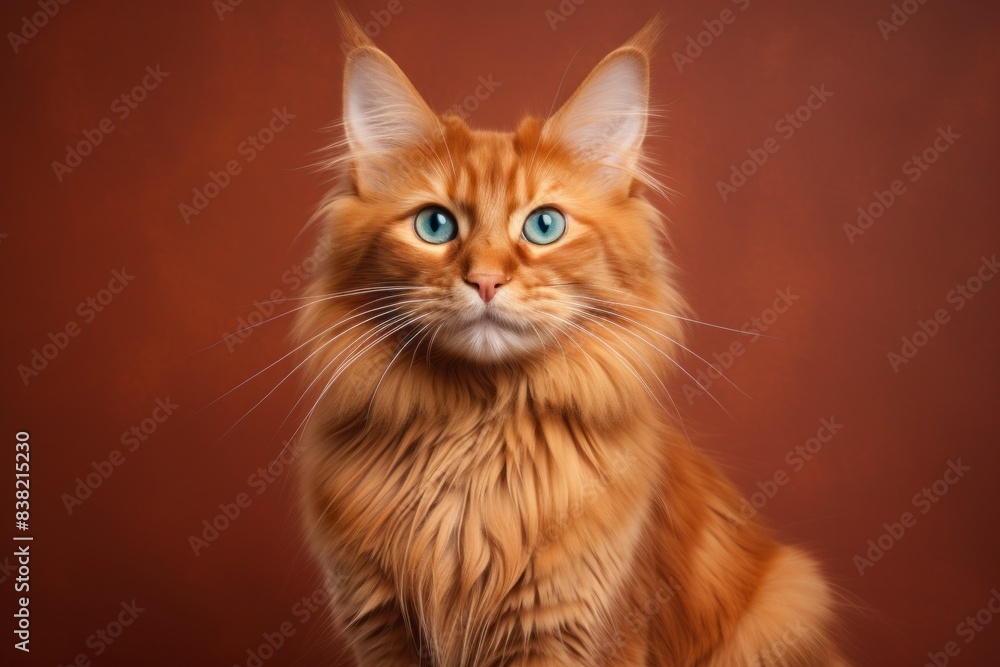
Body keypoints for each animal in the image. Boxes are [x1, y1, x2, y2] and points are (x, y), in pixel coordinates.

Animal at [292, 10, 848, 667]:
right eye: (435, 224)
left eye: (544, 225)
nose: (485, 279)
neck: (476, 438)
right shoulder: (380, 627)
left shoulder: (574, 629)